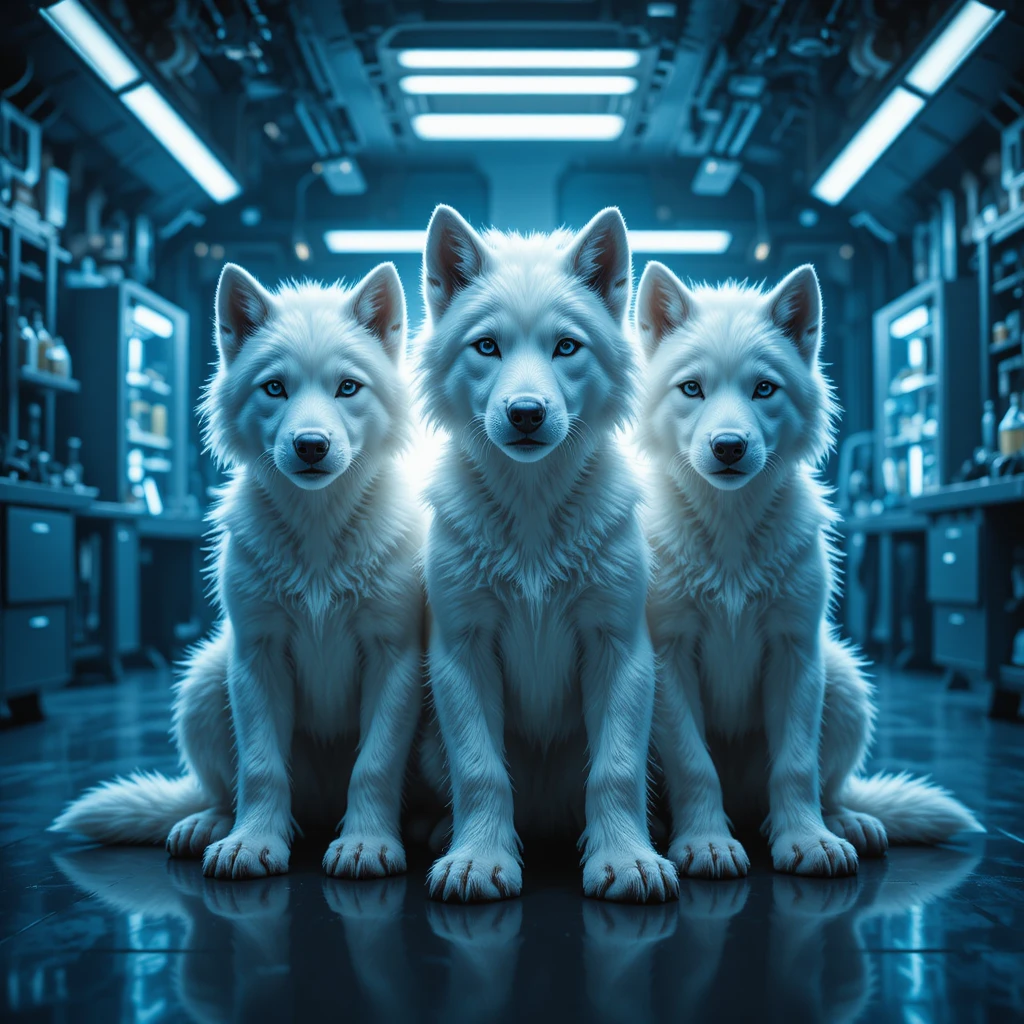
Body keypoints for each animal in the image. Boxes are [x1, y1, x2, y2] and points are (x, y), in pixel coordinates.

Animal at [51, 261, 425, 880]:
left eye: (348, 387)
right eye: (275, 387)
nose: (311, 446)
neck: (318, 532)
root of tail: (320, 809)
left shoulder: (394, 656)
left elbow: (373, 764)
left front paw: (366, 844)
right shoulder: (256, 654)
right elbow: (260, 766)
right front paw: (252, 843)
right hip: (207, 676)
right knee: (226, 790)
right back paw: (213, 825)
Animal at [416, 205, 678, 903]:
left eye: (566, 346)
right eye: (487, 346)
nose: (527, 413)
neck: (532, 515)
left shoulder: (620, 646)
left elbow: (615, 768)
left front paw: (625, 858)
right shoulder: (461, 649)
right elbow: (480, 769)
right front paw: (479, 859)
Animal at [636, 261, 982, 879]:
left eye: (764, 388)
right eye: (692, 388)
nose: (729, 447)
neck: (730, 532)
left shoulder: (796, 649)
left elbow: (796, 763)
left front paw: (806, 840)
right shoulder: (668, 655)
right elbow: (694, 763)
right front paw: (706, 844)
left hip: (842, 677)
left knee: (827, 785)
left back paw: (842, 823)